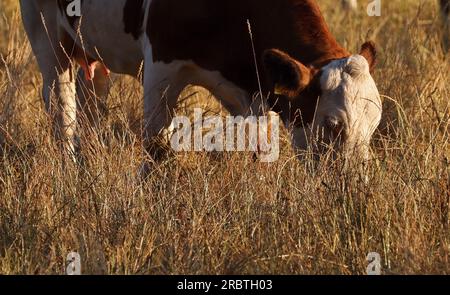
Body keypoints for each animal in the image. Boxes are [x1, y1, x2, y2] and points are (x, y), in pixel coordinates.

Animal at [19, 0, 382, 166]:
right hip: (44, 31)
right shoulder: (161, 64)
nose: (357, 184)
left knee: (91, 98)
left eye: (375, 124)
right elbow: (156, 149)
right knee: (60, 106)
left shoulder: (253, 91)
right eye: (333, 125)